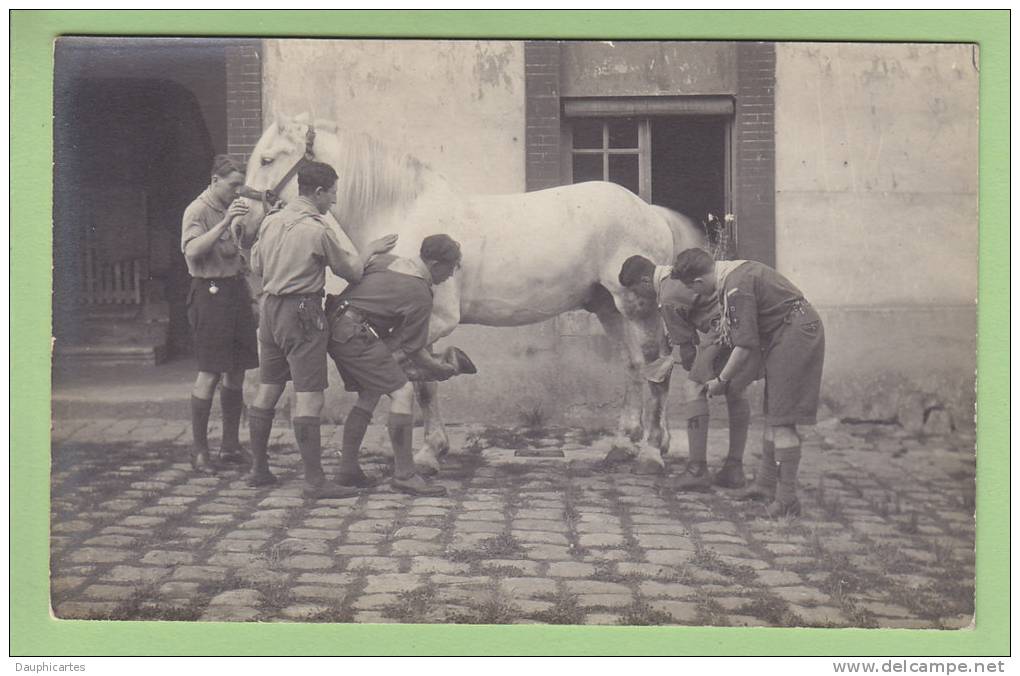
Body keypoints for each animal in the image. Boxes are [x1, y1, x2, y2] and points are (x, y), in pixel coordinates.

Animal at [245, 116, 705, 475]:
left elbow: (419, 374)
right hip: (607, 306)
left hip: (637, 306)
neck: (406, 213)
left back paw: (652, 452)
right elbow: (424, 382)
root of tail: (649, 211)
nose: (242, 221)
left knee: (655, 366)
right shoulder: (423, 320)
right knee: (633, 366)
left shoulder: (437, 318)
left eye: (268, 159)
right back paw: (625, 445)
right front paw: (433, 449)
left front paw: (430, 450)